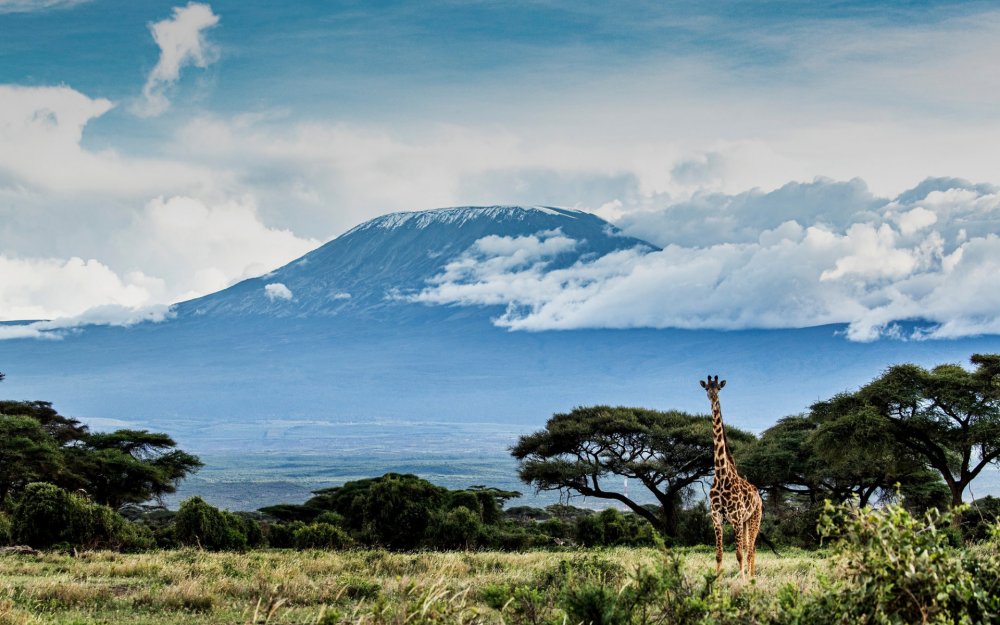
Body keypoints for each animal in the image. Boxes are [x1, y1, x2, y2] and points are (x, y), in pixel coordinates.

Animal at [700, 372, 760, 576]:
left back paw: (750, 578)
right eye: (706, 387)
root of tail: (759, 495)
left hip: (755, 517)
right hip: (746, 521)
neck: (721, 475)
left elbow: (739, 555)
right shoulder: (716, 518)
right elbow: (719, 555)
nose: (712, 396)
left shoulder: (735, 518)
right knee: (751, 548)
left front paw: (741, 582)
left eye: (718, 388)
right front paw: (716, 583)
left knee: (750, 550)